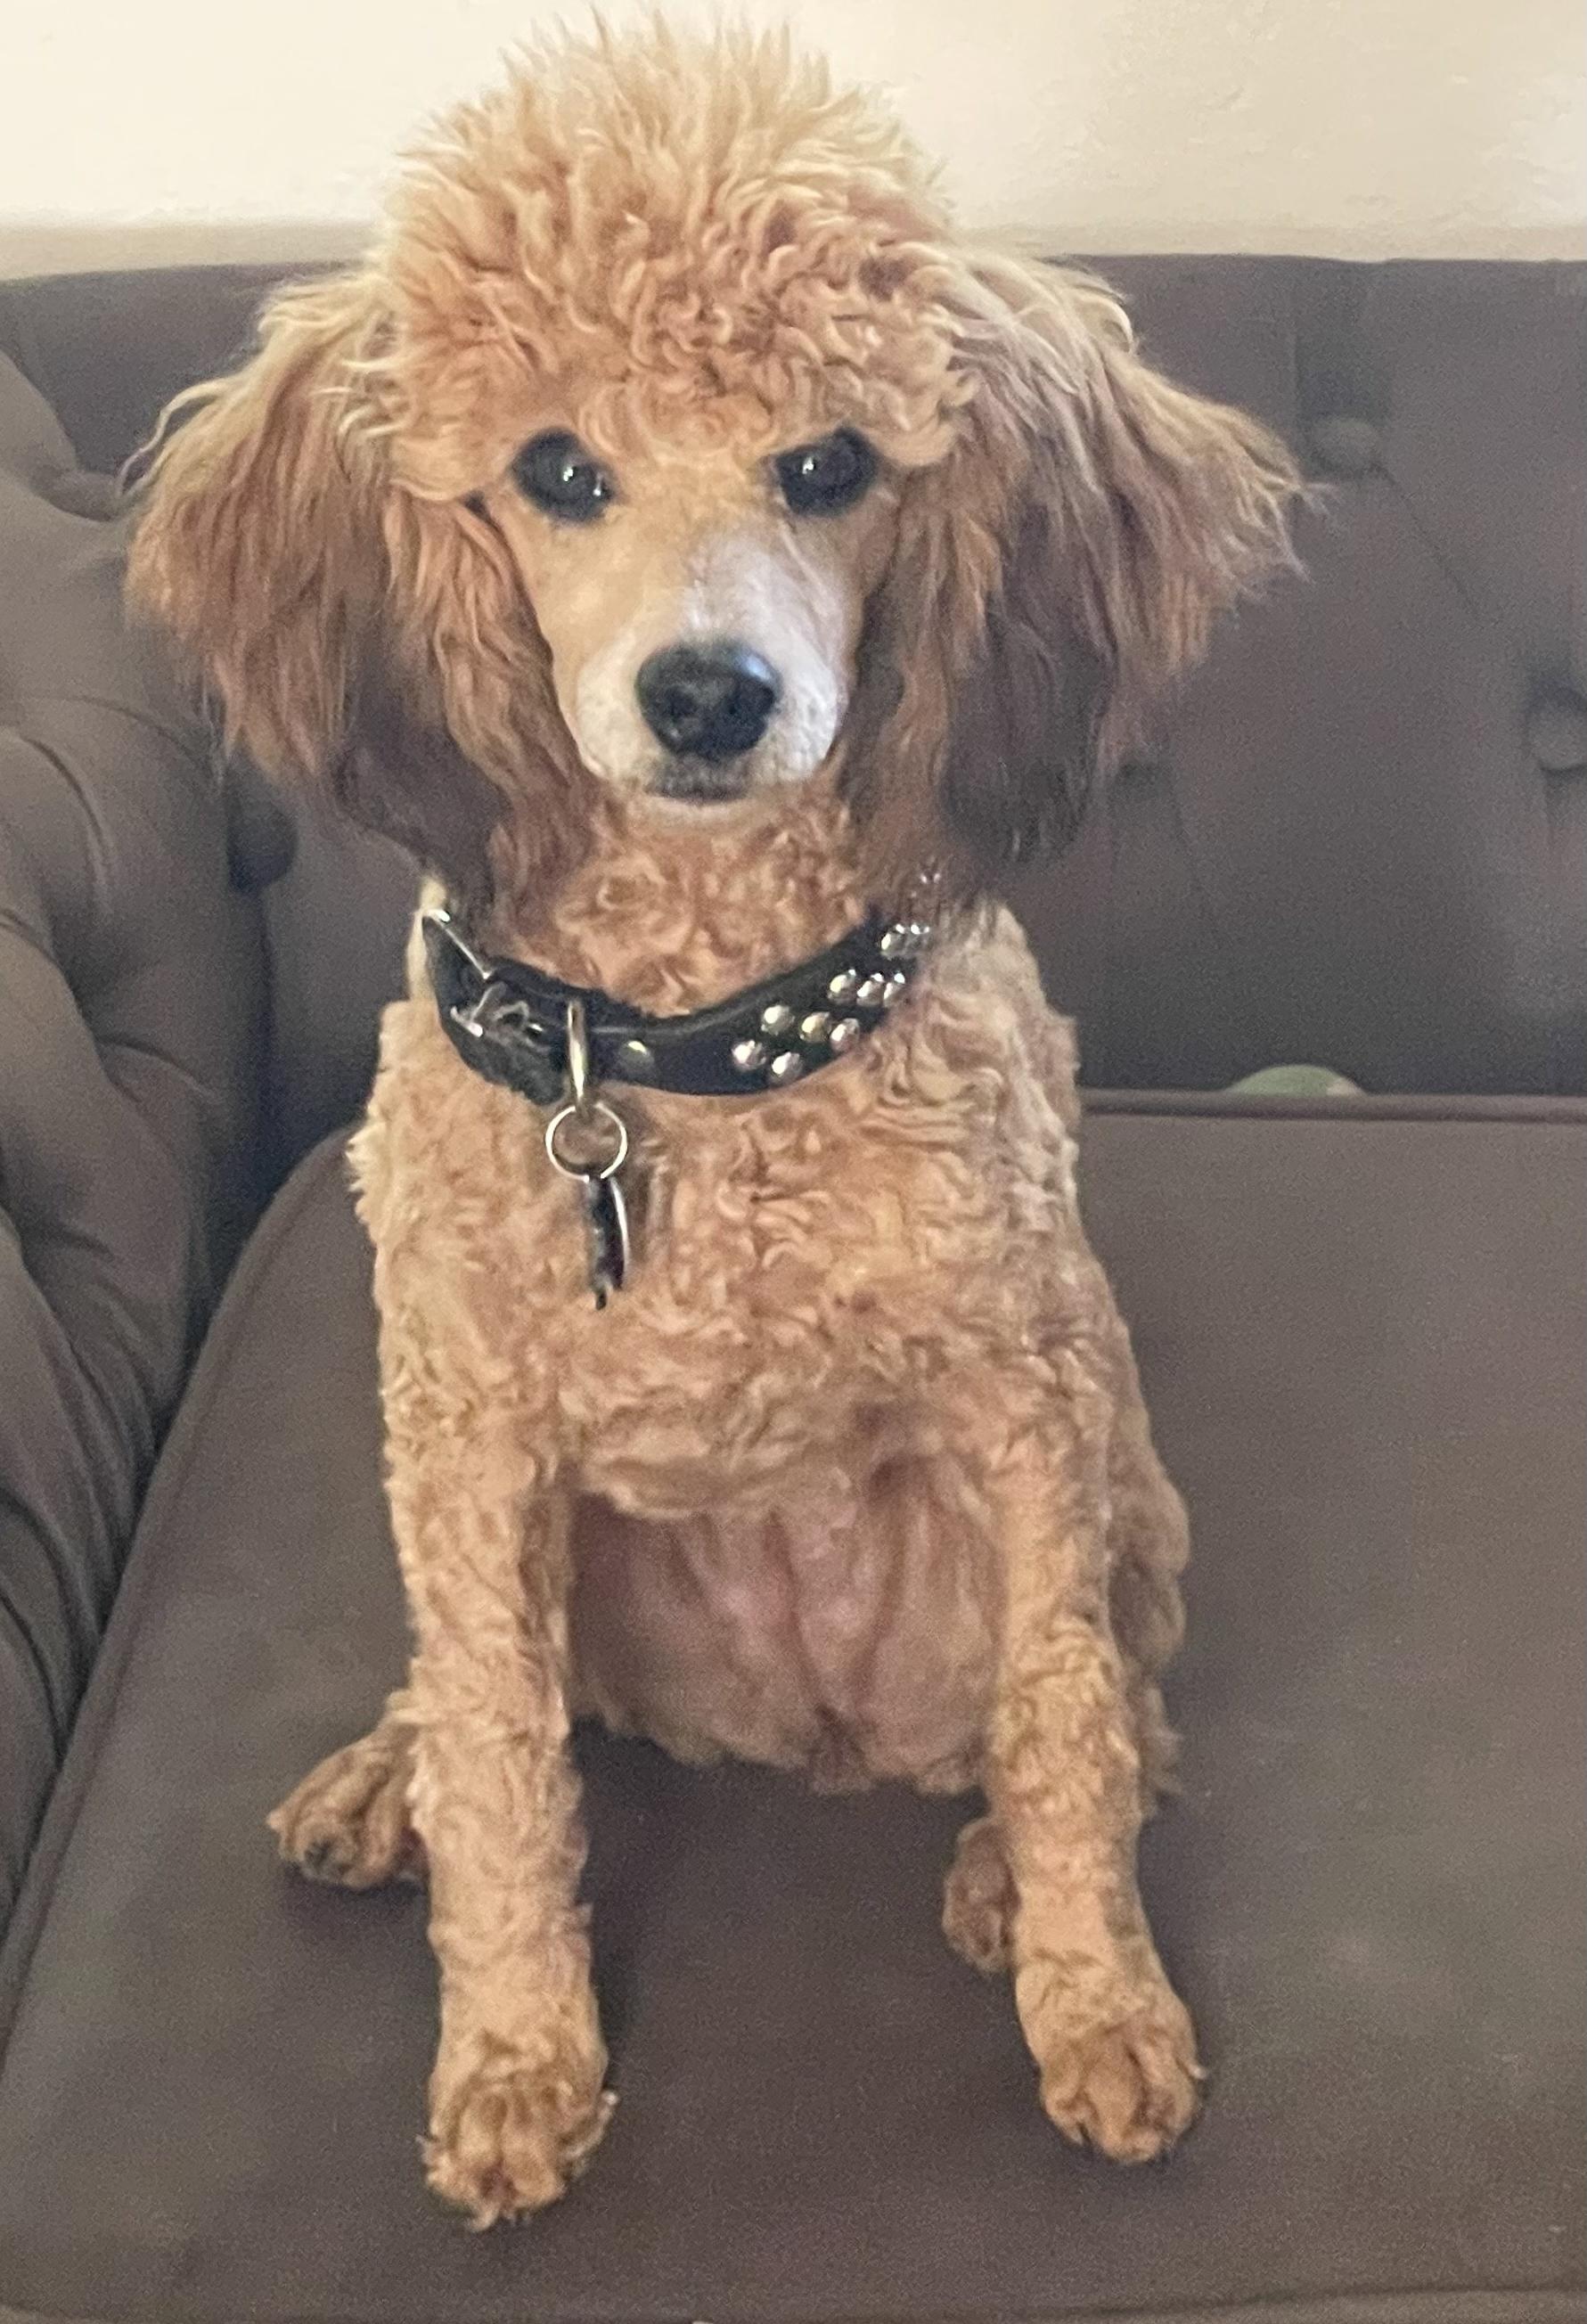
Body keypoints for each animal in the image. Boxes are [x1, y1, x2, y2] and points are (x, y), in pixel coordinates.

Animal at [128, 22, 1300, 2226]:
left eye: (828, 466)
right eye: (556, 472)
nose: (706, 693)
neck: (674, 1048)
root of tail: (805, 1720)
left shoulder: (1023, 1405)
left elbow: (1061, 1720)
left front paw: (1096, 2001)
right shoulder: (466, 1437)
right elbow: (504, 1768)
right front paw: (515, 2058)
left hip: (1123, 1513)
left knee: (1101, 1713)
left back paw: (1002, 1875)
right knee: (484, 1700)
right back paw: (381, 1776)